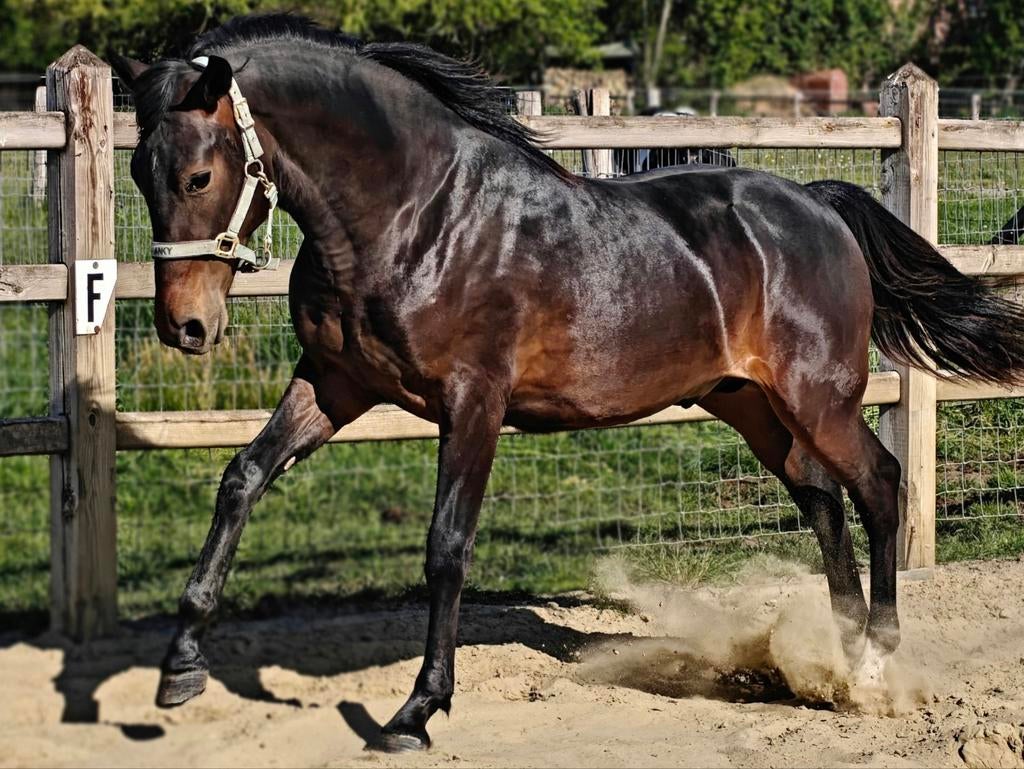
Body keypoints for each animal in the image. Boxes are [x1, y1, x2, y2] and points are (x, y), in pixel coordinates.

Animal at [112, 14, 1024, 751]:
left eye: (198, 176)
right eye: (137, 173)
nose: (185, 326)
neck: (415, 214)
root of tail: (817, 200)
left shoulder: (471, 402)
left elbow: (446, 546)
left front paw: (417, 710)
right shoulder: (335, 381)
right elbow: (242, 478)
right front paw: (180, 668)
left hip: (819, 396)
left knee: (878, 483)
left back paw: (872, 668)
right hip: (750, 404)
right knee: (822, 499)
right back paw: (831, 661)